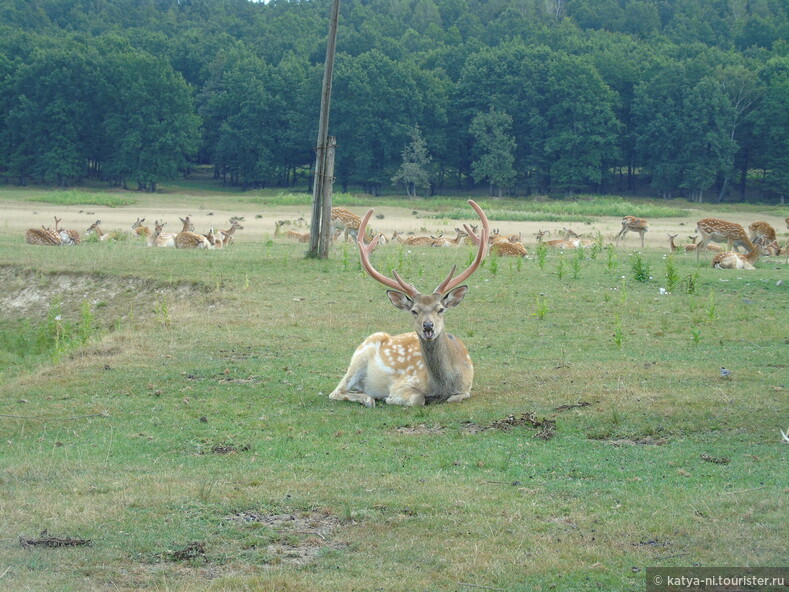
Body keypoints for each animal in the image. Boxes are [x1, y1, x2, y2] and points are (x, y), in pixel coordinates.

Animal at [324, 199, 486, 408]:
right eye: (414, 311)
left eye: (441, 309)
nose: (428, 326)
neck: (442, 386)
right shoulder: (404, 383)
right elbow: (418, 399)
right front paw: (390, 398)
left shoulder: (467, 387)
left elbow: (456, 397)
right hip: (359, 356)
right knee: (336, 391)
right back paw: (369, 398)